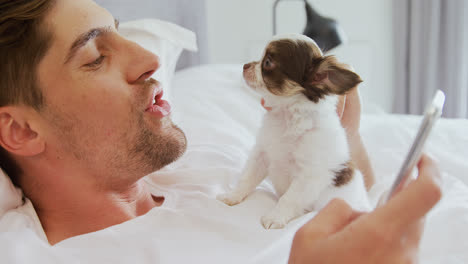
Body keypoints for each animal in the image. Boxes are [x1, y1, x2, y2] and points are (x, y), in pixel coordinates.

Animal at [218, 34, 372, 229]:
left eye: (267, 62)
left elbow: (289, 198)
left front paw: (275, 217)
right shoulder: (262, 153)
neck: (287, 117)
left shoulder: (308, 175)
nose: (245, 65)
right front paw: (232, 196)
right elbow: (247, 177)